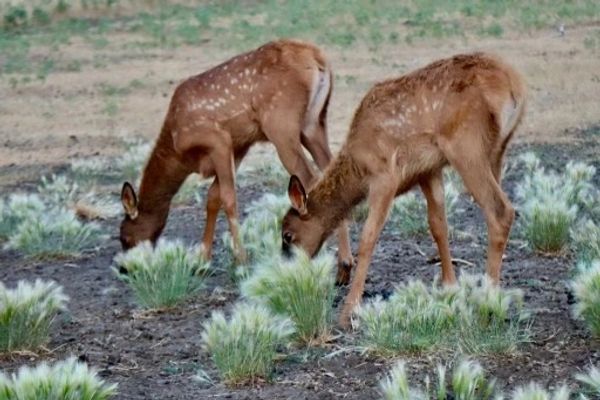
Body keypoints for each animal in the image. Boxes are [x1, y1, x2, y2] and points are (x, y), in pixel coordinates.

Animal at [120, 38, 354, 276]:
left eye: (124, 237)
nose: (124, 268)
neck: (178, 149)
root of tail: (317, 58)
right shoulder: (239, 145)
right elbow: (212, 197)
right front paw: (202, 260)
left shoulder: (217, 139)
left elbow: (228, 197)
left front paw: (241, 261)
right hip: (314, 123)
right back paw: (344, 266)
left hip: (281, 124)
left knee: (310, 178)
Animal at [282, 52, 524, 328]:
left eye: (287, 235)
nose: (286, 271)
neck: (358, 167)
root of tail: (514, 86)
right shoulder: (428, 170)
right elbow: (438, 225)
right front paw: (449, 289)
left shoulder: (384, 175)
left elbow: (368, 237)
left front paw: (348, 311)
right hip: (497, 151)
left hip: (466, 145)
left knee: (500, 211)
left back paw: (488, 304)